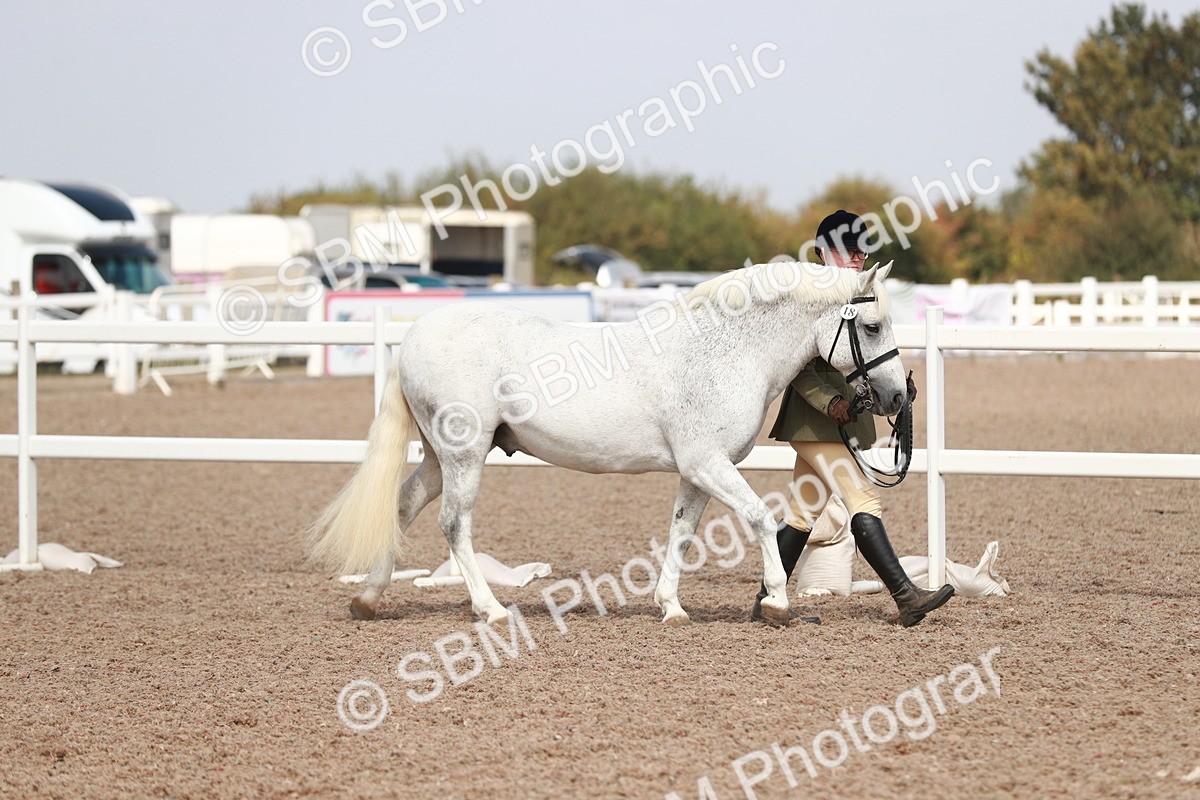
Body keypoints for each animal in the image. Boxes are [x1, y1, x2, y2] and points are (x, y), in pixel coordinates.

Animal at [308, 260, 905, 628]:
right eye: (873, 326)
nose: (898, 397)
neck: (725, 350)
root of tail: (415, 335)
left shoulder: (695, 472)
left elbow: (681, 533)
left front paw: (671, 608)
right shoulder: (707, 463)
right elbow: (760, 518)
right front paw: (778, 602)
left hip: (439, 456)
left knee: (404, 504)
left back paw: (367, 599)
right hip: (464, 453)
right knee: (454, 524)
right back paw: (491, 609)